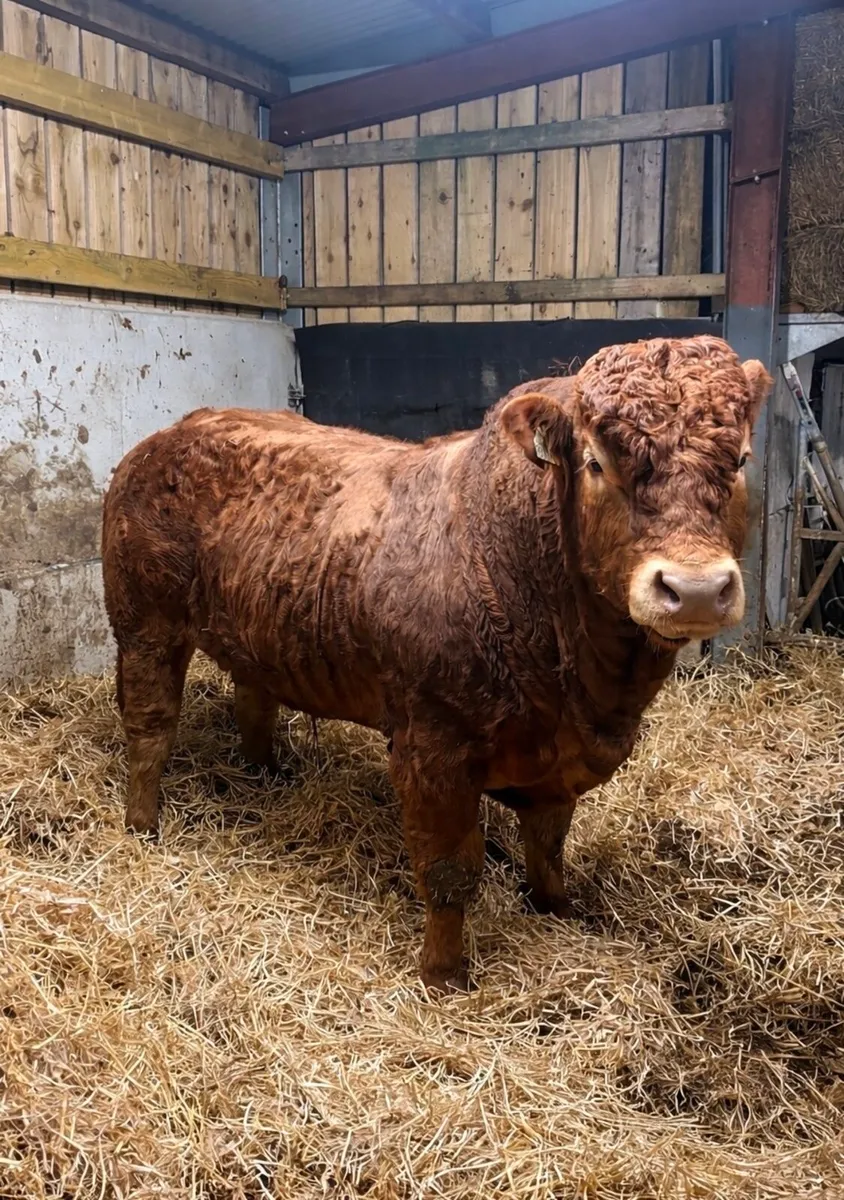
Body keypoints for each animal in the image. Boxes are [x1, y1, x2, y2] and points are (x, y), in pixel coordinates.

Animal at [102, 335, 771, 992]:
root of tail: (173, 432)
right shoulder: (432, 747)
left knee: (253, 698)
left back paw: (266, 774)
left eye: (740, 460)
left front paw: (558, 909)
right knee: (150, 727)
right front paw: (444, 976)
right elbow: (450, 871)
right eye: (596, 464)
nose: (695, 588)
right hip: (143, 625)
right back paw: (142, 824)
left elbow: (550, 842)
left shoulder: (561, 756)